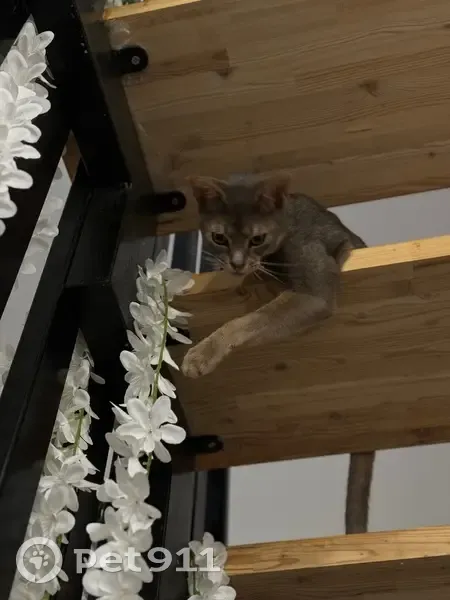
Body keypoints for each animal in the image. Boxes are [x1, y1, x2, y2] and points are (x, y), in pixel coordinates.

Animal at [181, 172, 374, 535]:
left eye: (257, 239)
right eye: (219, 237)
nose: (237, 264)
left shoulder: (314, 292)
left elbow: (246, 321)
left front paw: (200, 355)